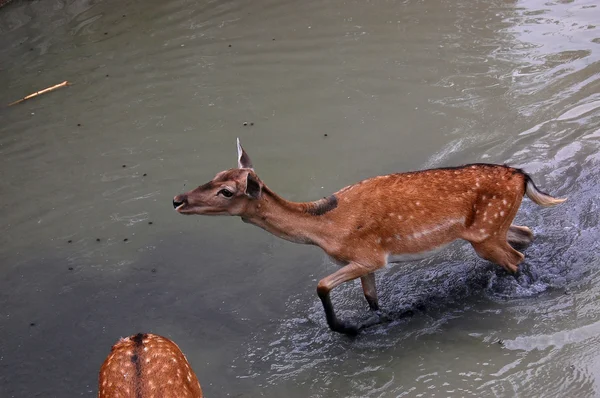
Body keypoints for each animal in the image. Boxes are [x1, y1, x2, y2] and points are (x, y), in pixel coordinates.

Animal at [172, 138, 568, 334]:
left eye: (226, 191)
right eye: (214, 175)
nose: (177, 200)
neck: (326, 228)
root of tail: (523, 177)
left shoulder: (368, 255)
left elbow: (321, 284)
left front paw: (344, 328)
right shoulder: (368, 264)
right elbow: (372, 300)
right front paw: (385, 320)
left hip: (486, 232)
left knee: (516, 258)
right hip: (488, 229)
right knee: (526, 234)